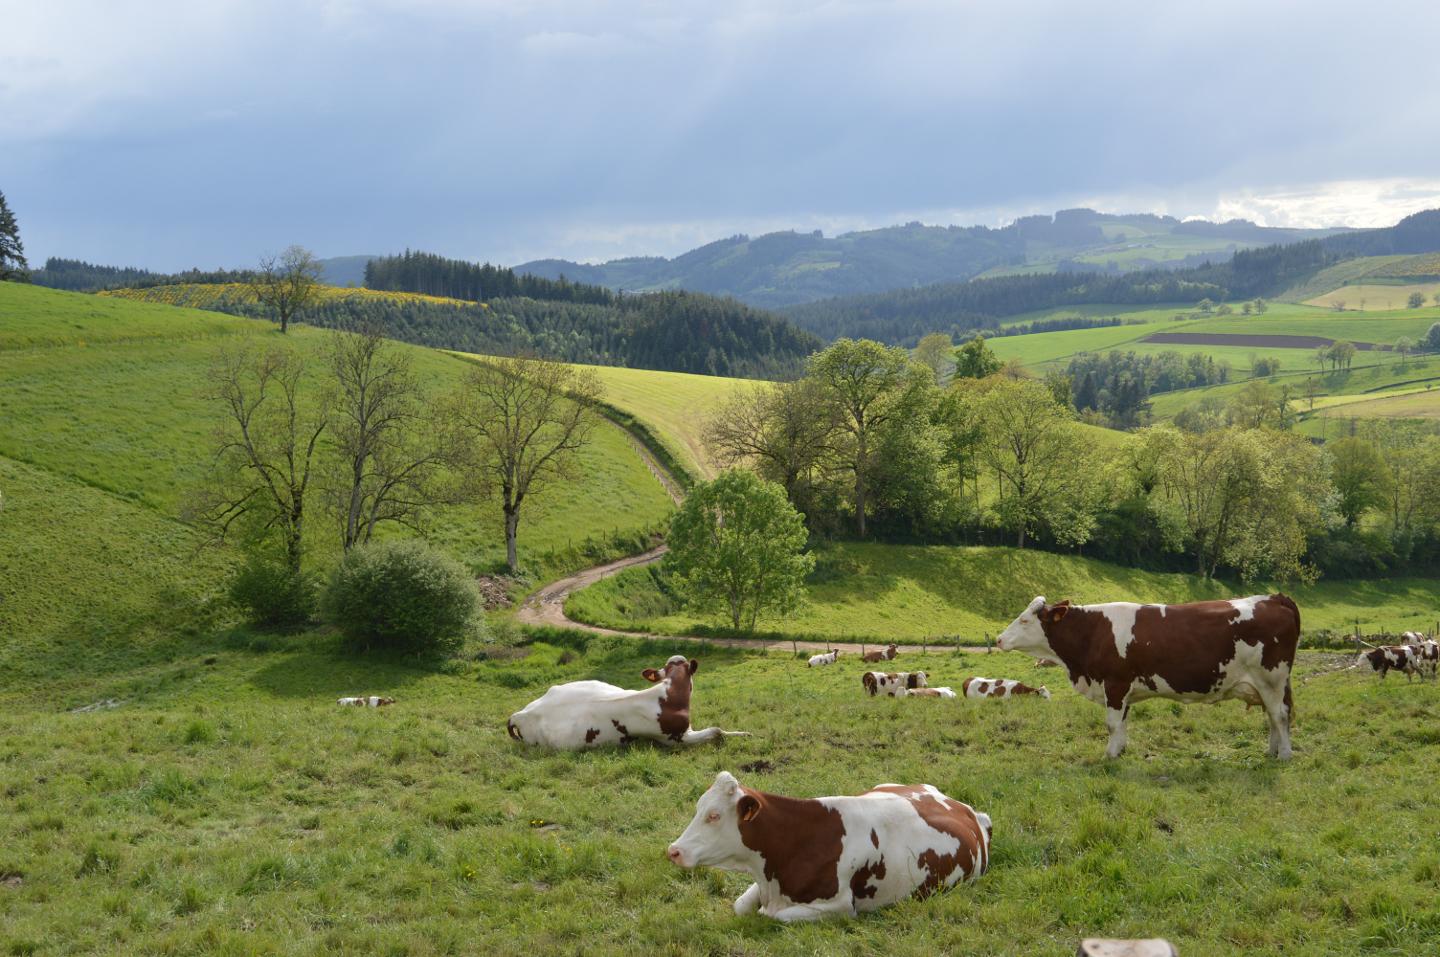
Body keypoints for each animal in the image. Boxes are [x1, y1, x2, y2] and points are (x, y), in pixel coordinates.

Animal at [665, 771, 990, 921]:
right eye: (699, 807)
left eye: (714, 815)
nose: (674, 850)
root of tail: (959, 805)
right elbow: (741, 905)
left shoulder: (841, 905)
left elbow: (774, 916)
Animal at [996, 592, 1301, 759]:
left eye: (1024, 619)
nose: (998, 639)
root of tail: (1275, 598)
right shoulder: (1125, 689)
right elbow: (1122, 723)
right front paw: (1120, 751)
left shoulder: (1115, 684)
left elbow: (1111, 724)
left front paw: (1108, 755)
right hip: (1266, 685)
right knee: (1272, 716)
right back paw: (1271, 751)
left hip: (1271, 679)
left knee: (1279, 715)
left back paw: (1284, 755)